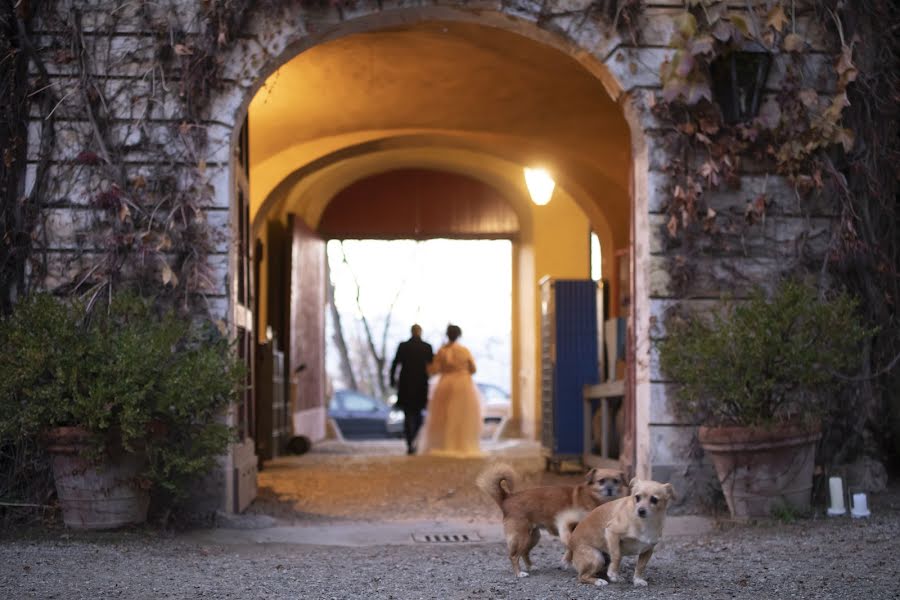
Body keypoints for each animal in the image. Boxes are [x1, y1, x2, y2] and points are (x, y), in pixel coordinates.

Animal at [474, 464, 628, 576]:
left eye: (616, 481)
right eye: (601, 481)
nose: (610, 489)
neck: (594, 499)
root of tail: (507, 498)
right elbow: (571, 547)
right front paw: (567, 561)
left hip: (533, 537)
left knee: (524, 553)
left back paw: (531, 566)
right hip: (522, 537)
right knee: (513, 556)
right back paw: (519, 573)